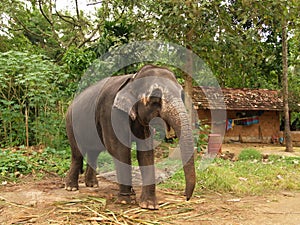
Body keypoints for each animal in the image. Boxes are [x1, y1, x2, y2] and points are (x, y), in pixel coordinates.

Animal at [64, 64, 196, 210]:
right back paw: (71, 188)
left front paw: (149, 205)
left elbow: (145, 152)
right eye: (155, 98)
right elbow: (119, 149)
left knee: (93, 153)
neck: (133, 78)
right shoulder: (110, 113)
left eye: (182, 95)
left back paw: (92, 184)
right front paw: (125, 201)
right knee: (77, 153)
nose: (186, 196)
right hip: (71, 124)